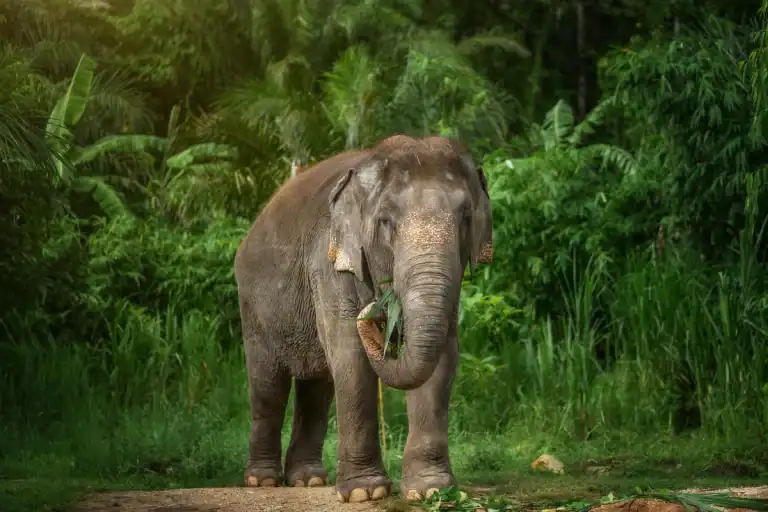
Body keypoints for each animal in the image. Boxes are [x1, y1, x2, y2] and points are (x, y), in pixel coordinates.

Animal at [233, 134, 493, 503]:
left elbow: (444, 351)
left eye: (466, 217)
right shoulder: (328, 261)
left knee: (317, 388)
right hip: (254, 305)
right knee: (269, 384)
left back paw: (308, 480)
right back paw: (263, 481)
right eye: (386, 221)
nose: (375, 314)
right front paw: (364, 492)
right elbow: (350, 355)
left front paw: (431, 491)